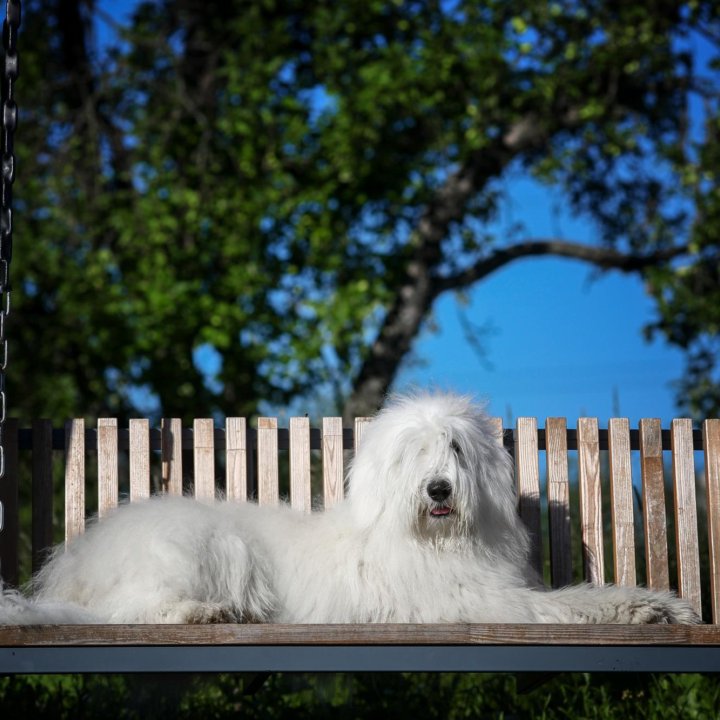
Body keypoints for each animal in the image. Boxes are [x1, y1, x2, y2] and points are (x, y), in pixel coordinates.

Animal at [0, 390, 696, 620]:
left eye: (454, 448)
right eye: (413, 453)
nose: (438, 490)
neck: (433, 542)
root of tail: (76, 564)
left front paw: (660, 605)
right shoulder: (478, 601)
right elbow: (565, 603)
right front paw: (641, 608)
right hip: (203, 547)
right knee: (131, 609)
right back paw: (208, 613)